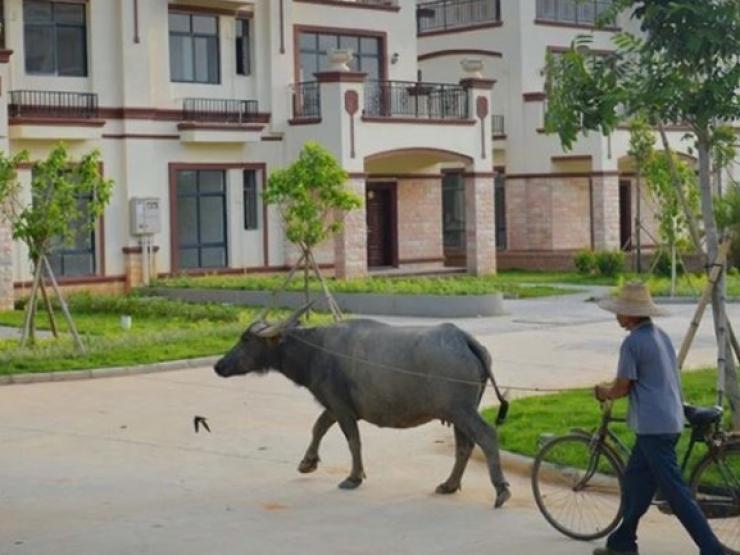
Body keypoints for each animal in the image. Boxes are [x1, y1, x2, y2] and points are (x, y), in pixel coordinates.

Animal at [217, 306, 512, 510]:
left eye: (246, 340)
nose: (219, 365)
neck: (316, 351)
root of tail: (462, 337)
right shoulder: (335, 405)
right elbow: (318, 426)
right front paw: (307, 463)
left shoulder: (341, 407)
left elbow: (352, 440)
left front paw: (353, 477)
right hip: (458, 412)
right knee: (465, 445)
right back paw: (449, 485)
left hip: (462, 409)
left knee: (486, 435)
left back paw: (501, 491)